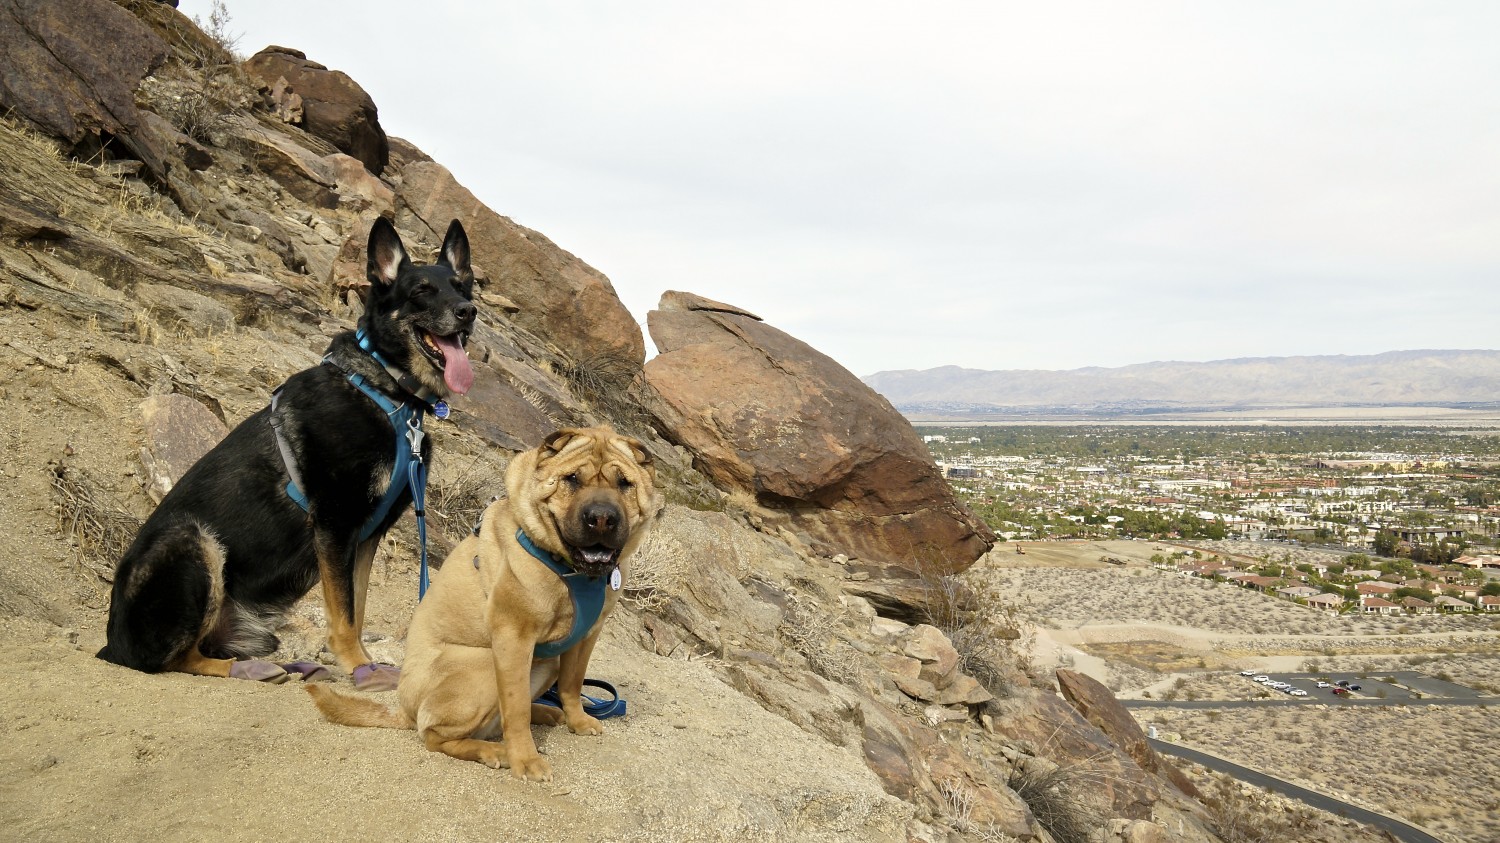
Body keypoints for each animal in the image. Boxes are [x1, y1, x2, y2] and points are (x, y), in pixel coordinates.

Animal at [98, 216, 474, 690]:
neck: (387, 390)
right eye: (423, 290)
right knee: (175, 657)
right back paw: (248, 669)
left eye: (463, 287)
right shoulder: (335, 522)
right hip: (192, 541)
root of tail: (112, 644)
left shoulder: (365, 534)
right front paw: (360, 668)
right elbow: (344, 613)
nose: (468, 312)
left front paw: (365, 663)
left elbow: (357, 605)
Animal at [306, 423, 663, 780]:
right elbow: (515, 707)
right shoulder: (513, 638)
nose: (601, 518)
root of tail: (403, 709)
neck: (572, 571)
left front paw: (577, 720)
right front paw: (526, 760)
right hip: (483, 668)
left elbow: (572, 684)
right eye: (572, 479)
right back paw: (494, 750)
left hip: (545, 663)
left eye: (624, 483)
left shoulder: (587, 635)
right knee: (434, 735)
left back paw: (545, 713)